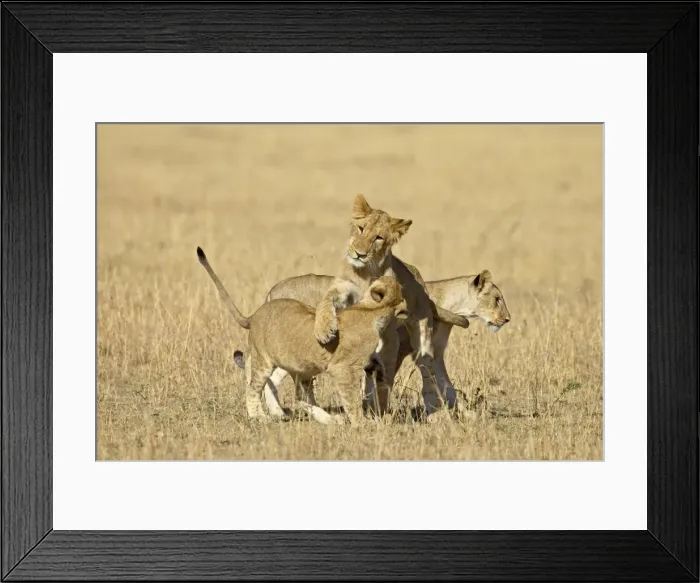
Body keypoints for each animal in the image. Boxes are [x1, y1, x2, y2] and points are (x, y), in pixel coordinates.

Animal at [197, 246, 409, 425]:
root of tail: (257, 311)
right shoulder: (343, 365)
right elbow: (353, 396)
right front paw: (364, 422)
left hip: (300, 365)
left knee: (295, 394)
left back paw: (323, 418)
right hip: (272, 359)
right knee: (258, 384)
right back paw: (263, 416)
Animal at [261, 268, 511, 416]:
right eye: (497, 299)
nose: (507, 319)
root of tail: (273, 290)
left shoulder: (435, 354)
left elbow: (446, 385)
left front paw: (466, 414)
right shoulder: (401, 350)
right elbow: (387, 382)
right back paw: (276, 413)